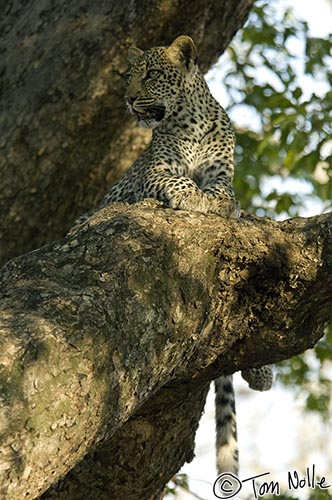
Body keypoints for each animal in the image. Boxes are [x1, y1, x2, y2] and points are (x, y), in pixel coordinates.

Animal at [75, 36, 272, 476]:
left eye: (150, 74)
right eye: (128, 77)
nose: (129, 99)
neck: (191, 120)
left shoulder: (222, 174)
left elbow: (225, 192)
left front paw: (218, 203)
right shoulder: (154, 170)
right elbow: (177, 181)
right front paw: (194, 197)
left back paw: (263, 370)